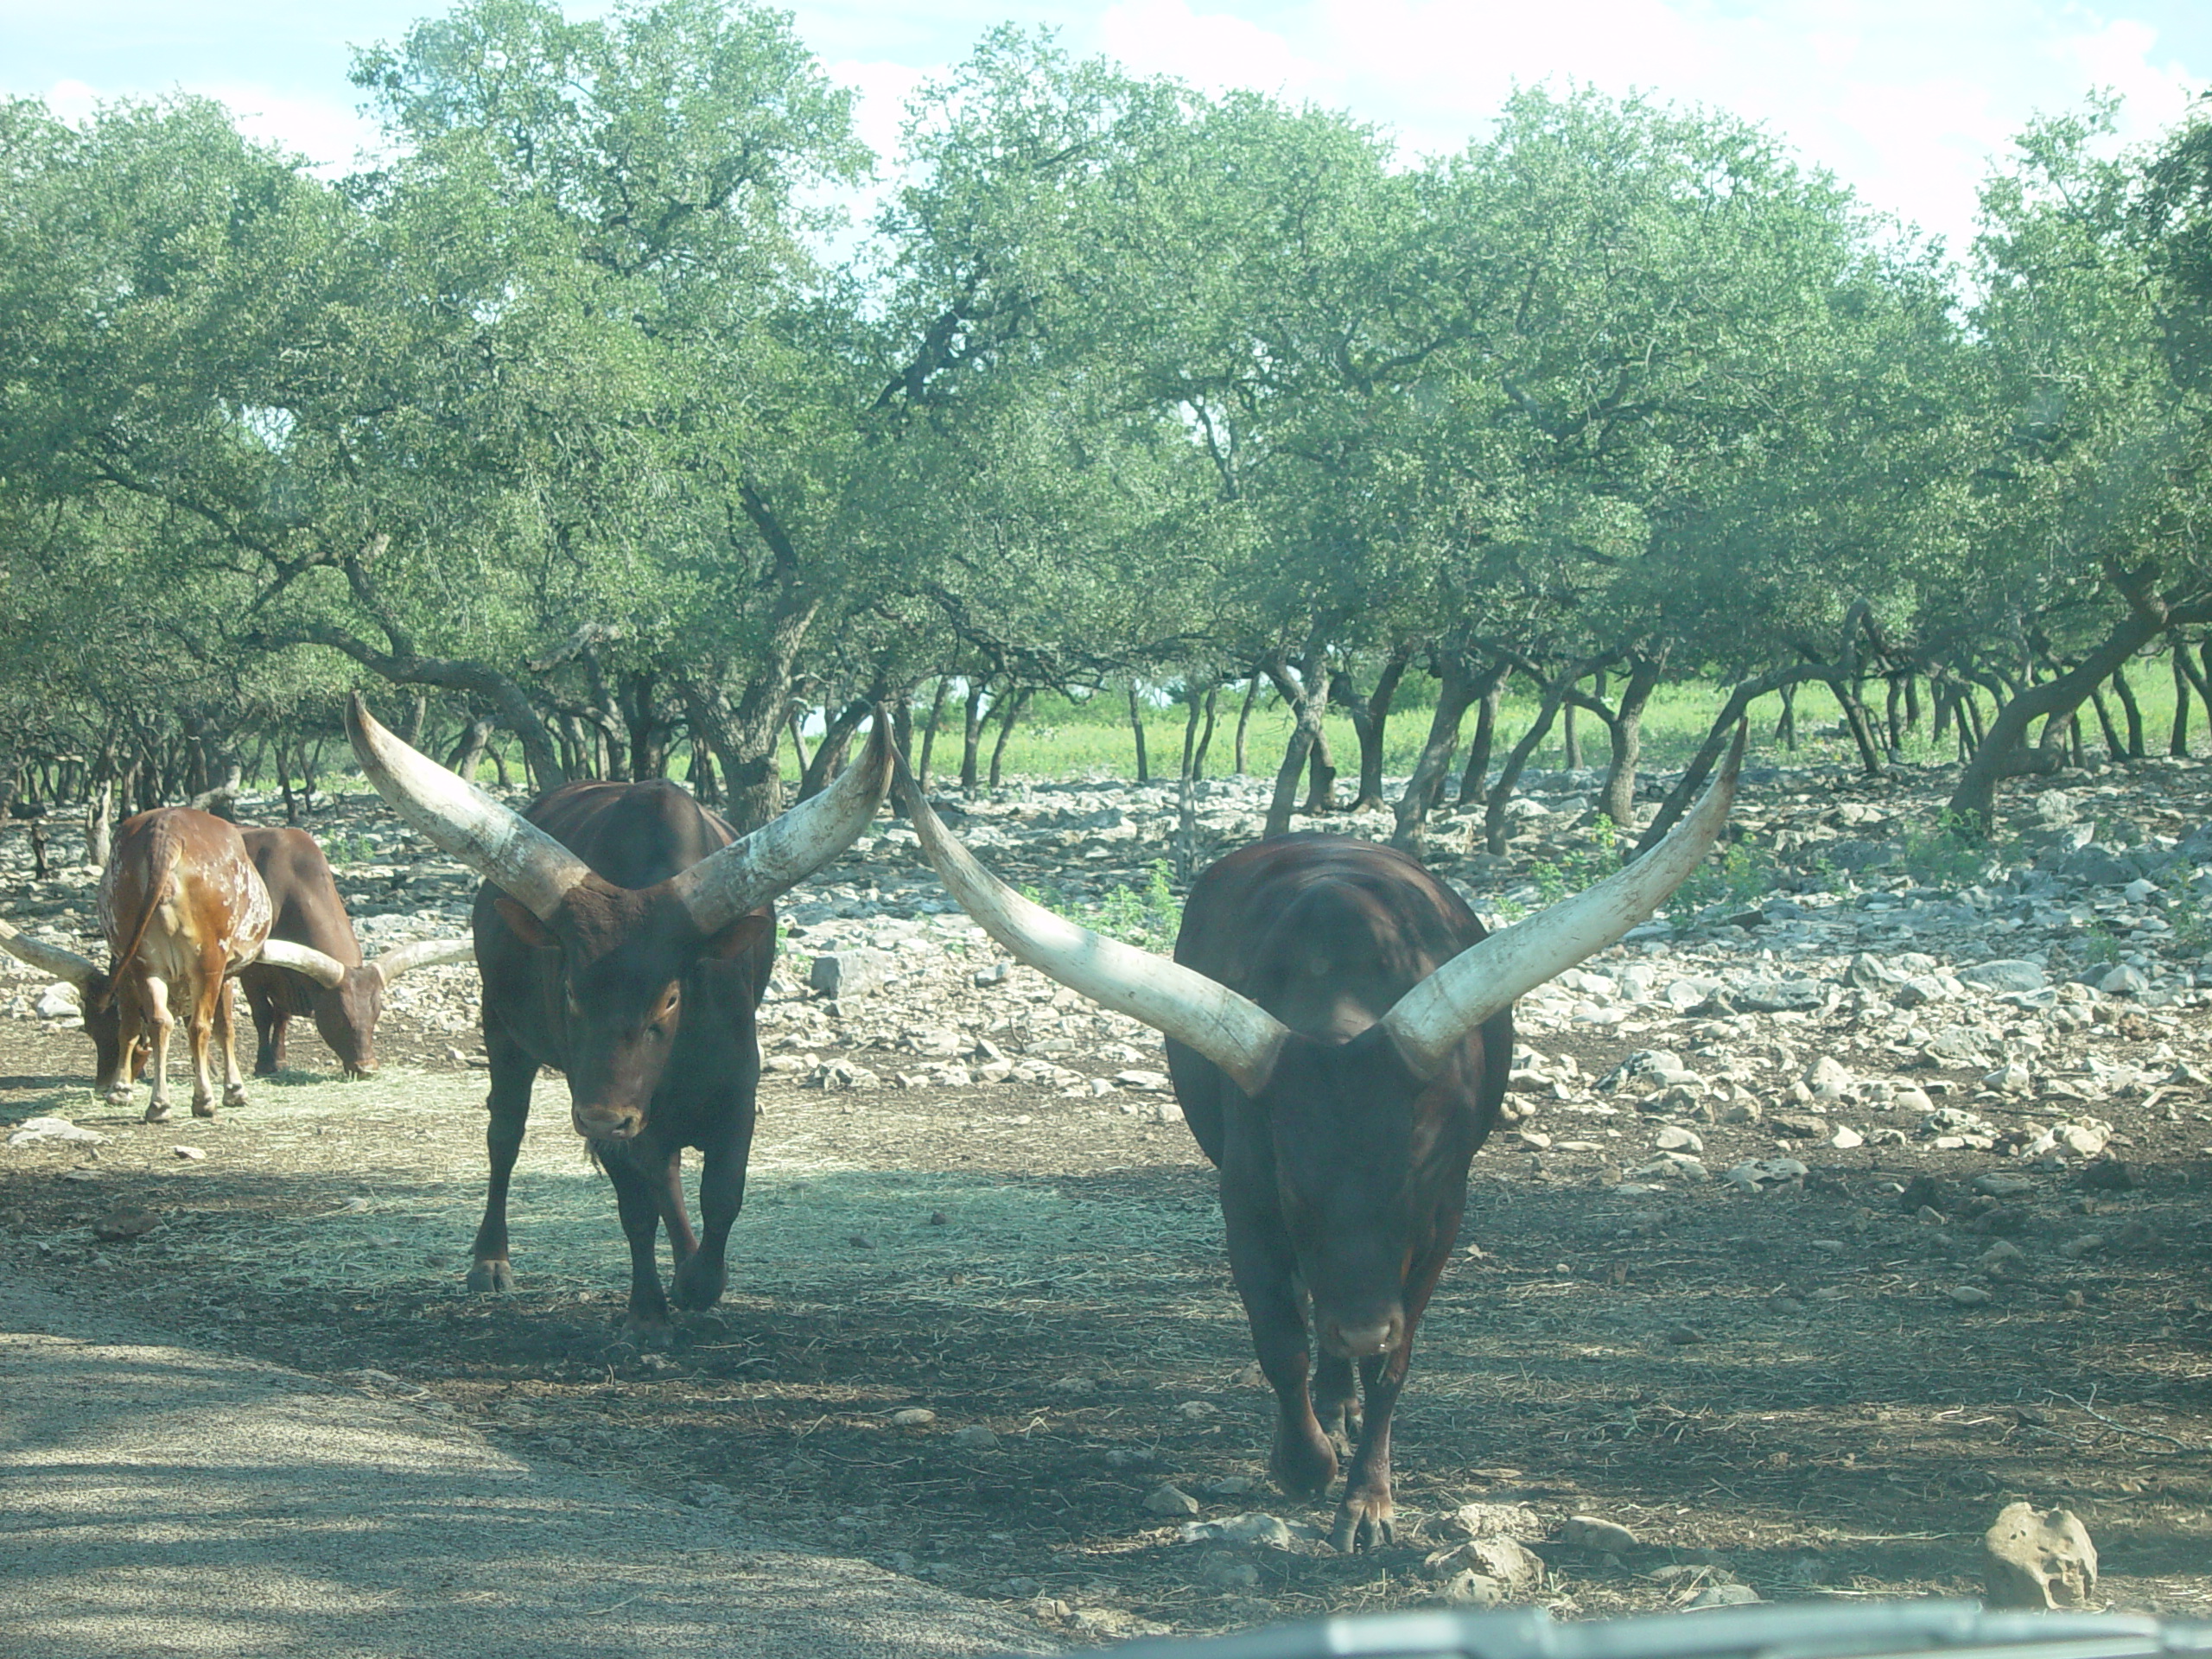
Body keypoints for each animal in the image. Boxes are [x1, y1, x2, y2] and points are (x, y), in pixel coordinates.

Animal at [235, 827, 473, 1084]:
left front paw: (279, 1062)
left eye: (375, 1015)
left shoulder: (285, 979)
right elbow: (263, 1015)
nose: (366, 1068)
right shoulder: (253, 975)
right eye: (339, 1016)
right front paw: (263, 1065)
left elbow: (281, 1018)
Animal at [342, 694, 889, 1344]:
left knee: (665, 1168)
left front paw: (697, 1281)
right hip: (503, 1030)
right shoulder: (601, 1103)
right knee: (506, 1135)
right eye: (571, 990)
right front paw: (649, 1311)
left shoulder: (737, 1093)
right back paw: (491, 1261)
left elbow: (721, 1196)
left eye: (671, 998)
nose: (605, 1117)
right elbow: (636, 1208)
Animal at [889, 734, 1734, 1557]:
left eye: (1414, 1179)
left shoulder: (1443, 1219)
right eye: (1296, 1187)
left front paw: (1368, 1500)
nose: (1361, 1324)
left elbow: (1395, 1362)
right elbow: (1281, 1339)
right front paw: (1303, 1465)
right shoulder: (1246, 1202)